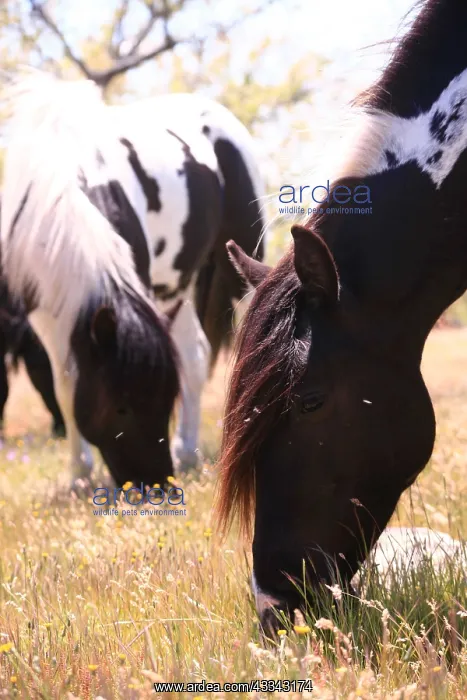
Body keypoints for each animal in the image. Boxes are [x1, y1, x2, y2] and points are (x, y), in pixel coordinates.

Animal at [0, 72, 264, 489]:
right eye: (121, 407)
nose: (157, 482)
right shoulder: (45, 314)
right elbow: (65, 383)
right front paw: (78, 475)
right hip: (177, 287)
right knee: (195, 353)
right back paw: (187, 452)